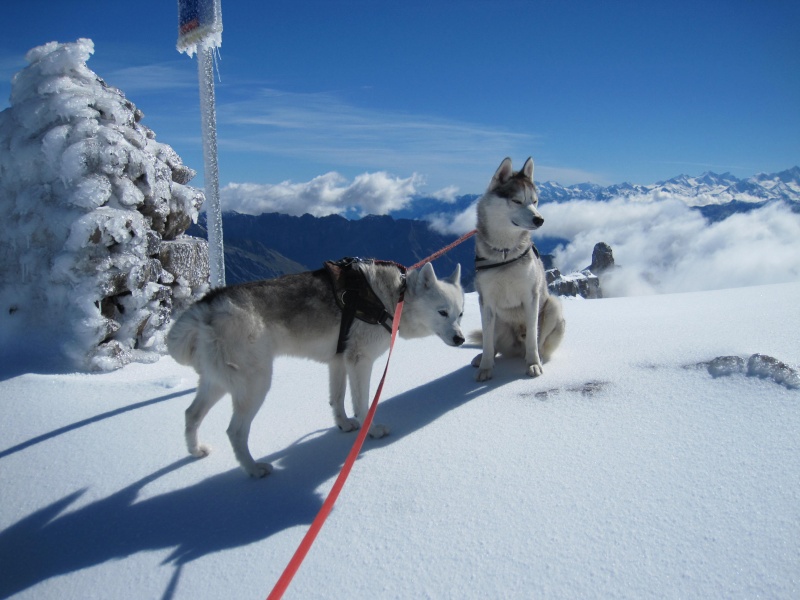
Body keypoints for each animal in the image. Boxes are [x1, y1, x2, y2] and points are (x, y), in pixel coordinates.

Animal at [166, 260, 462, 476]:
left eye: (460, 314)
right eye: (442, 312)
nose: (460, 339)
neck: (394, 297)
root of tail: (206, 306)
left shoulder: (338, 361)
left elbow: (337, 400)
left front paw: (344, 425)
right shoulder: (360, 362)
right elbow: (363, 404)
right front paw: (371, 431)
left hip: (217, 383)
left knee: (191, 414)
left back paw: (196, 451)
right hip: (256, 385)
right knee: (235, 431)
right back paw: (254, 469)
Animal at [472, 157, 564, 382]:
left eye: (535, 201)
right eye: (516, 201)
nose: (540, 219)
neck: (505, 253)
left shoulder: (531, 297)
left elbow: (532, 337)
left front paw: (533, 364)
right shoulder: (486, 301)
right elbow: (487, 341)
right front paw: (485, 368)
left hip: (552, 306)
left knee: (538, 343)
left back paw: (537, 358)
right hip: (498, 321)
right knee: (493, 343)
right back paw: (483, 357)